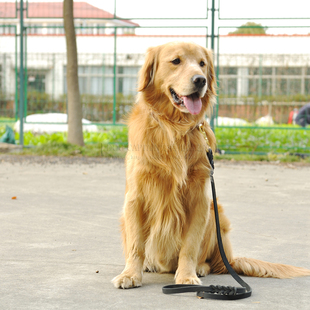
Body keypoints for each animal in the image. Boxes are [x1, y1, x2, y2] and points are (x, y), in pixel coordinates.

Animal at [112, 41, 310, 288]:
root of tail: (230, 260)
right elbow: (135, 244)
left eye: (202, 64)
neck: (175, 128)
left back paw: (201, 267)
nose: (200, 80)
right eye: (176, 61)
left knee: (209, 259)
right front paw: (130, 274)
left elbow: (189, 245)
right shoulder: (136, 197)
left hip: (216, 216)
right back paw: (149, 264)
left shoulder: (200, 199)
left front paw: (187, 276)